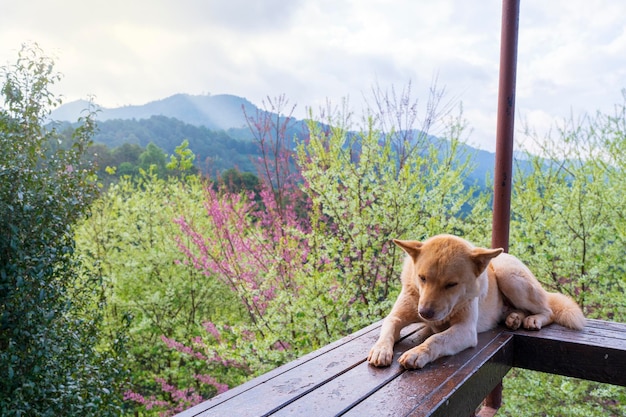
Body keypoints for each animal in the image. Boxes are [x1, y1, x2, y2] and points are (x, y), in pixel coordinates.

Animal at [368, 234, 584, 368]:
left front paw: (418, 353)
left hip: (510, 276)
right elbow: (387, 329)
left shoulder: (465, 330)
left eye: (451, 284)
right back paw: (514, 318)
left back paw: (533, 319)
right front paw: (380, 350)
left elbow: (436, 339)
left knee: (548, 310)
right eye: (422, 278)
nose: (425, 313)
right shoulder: (396, 316)